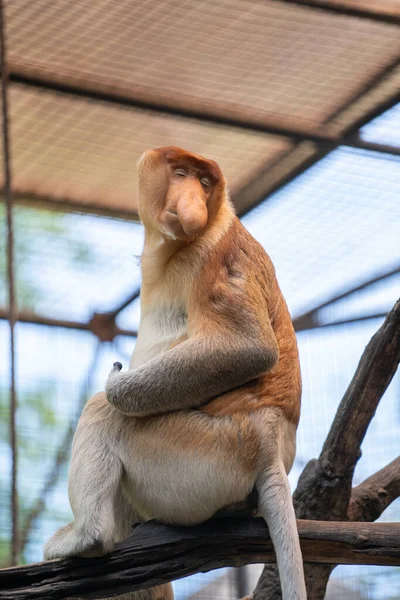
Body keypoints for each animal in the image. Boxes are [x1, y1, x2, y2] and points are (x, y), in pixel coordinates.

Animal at [44, 146, 306, 600]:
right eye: (181, 173)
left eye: (204, 182)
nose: (194, 203)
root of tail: (271, 439)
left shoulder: (215, 257)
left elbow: (249, 347)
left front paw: (116, 381)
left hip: (203, 454)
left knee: (102, 414)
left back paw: (85, 538)